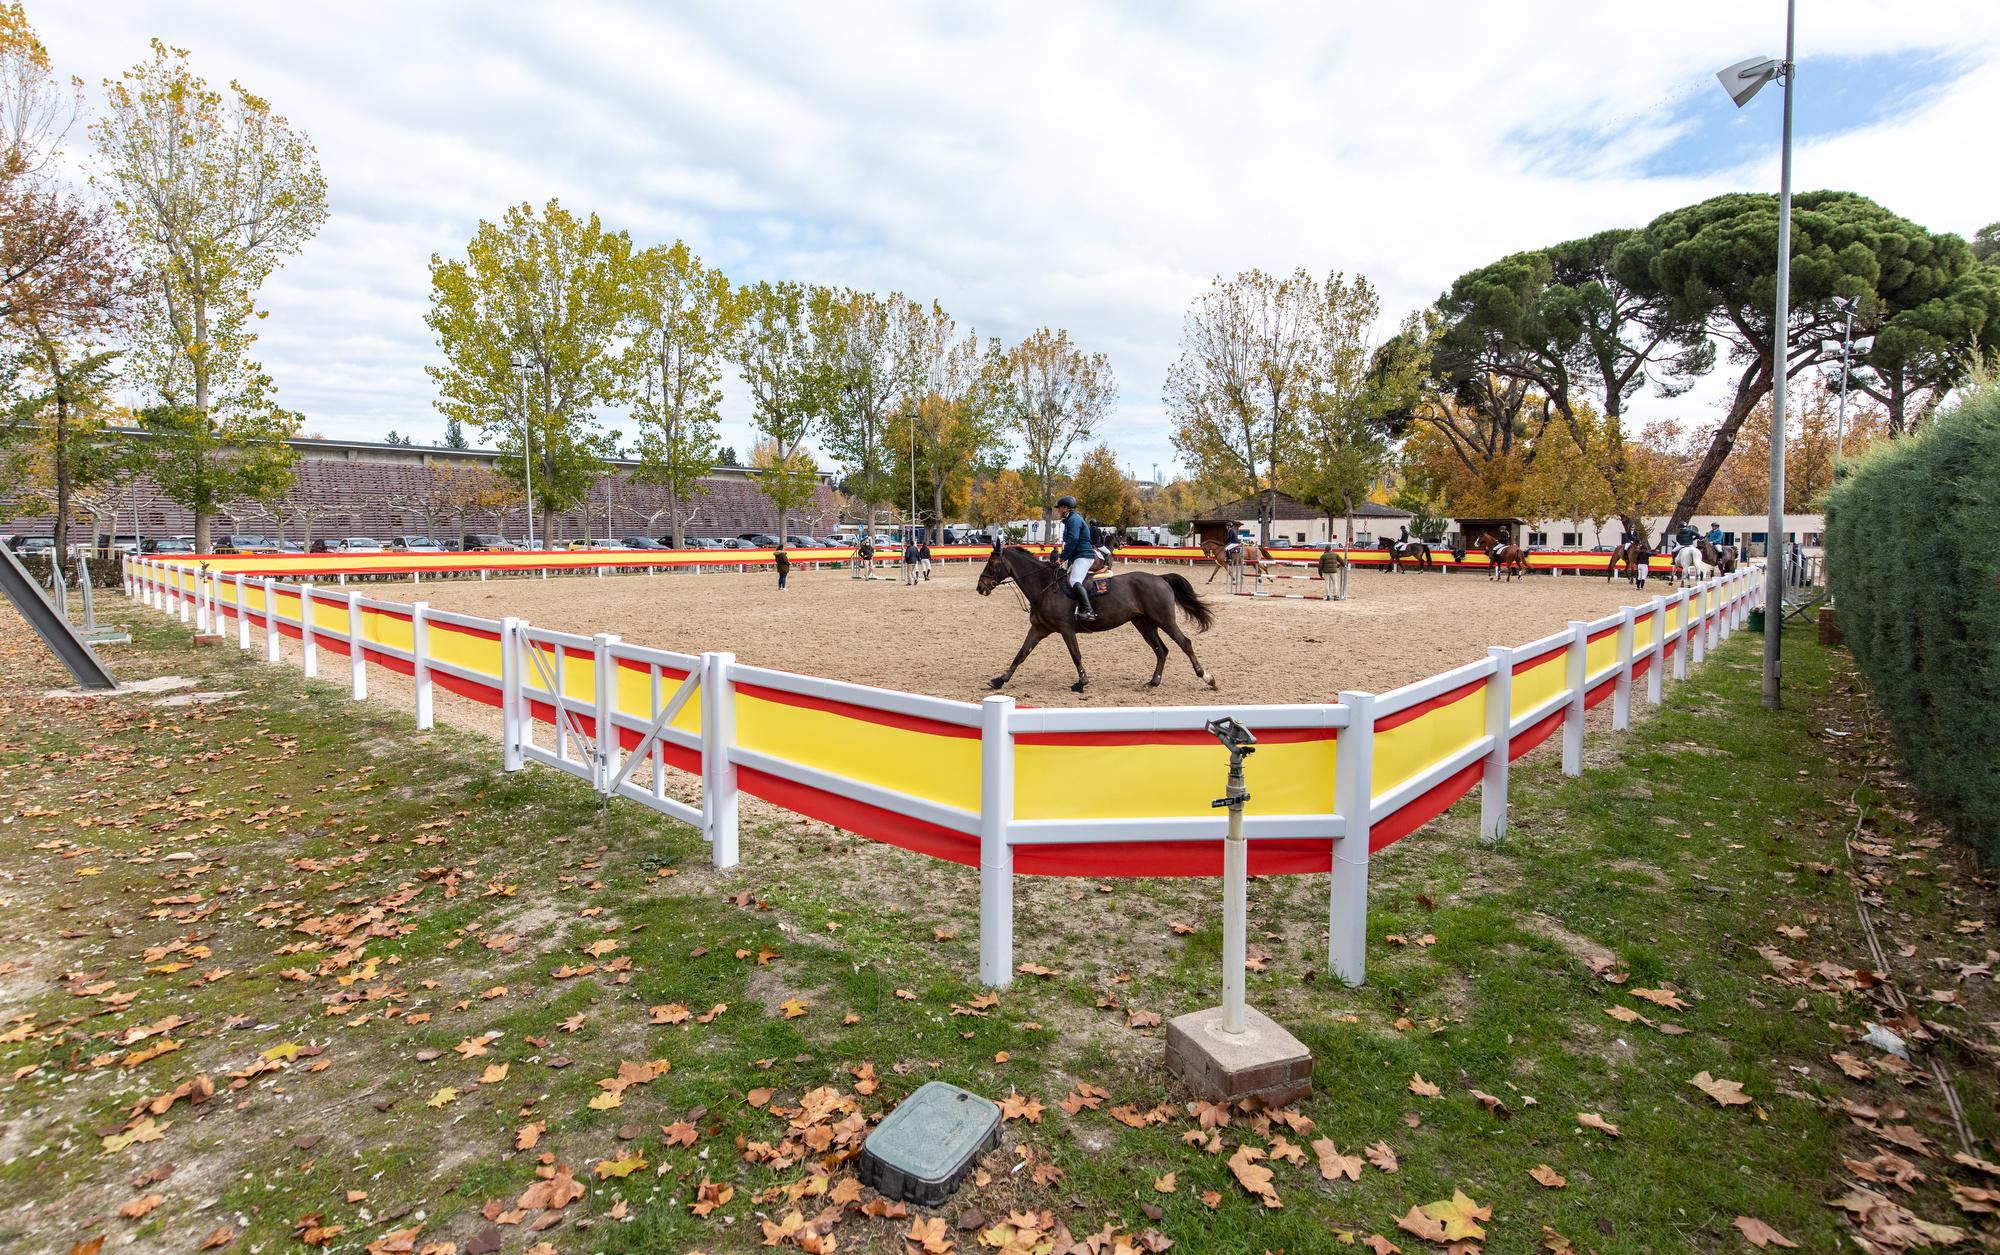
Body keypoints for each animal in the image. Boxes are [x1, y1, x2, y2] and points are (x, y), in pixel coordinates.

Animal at [980, 543, 1216, 691]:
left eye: (992, 565)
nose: (980, 587)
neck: (1045, 586)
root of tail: (1160, 579)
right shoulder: (1039, 629)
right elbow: (1021, 654)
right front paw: (1000, 680)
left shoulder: (1066, 629)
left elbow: (1075, 655)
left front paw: (1082, 682)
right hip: (1144, 624)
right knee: (1161, 650)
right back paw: (1153, 682)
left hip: (1165, 621)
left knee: (1185, 643)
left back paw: (1207, 677)